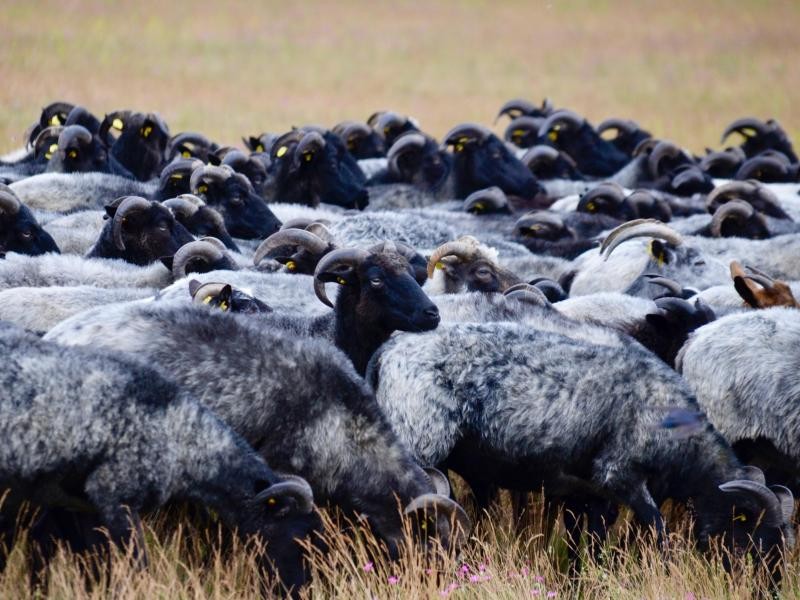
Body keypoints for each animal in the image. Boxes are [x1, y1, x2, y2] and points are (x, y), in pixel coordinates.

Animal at [0, 322, 318, 592]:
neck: (182, 437)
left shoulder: (78, 504)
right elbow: (135, 562)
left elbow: (85, 557)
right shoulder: (114, 498)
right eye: (300, 536)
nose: (299, 590)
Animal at [368, 318, 792, 568]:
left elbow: (593, 541)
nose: (764, 589)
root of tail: (390, 348)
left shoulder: (593, 493)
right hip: (417, 438)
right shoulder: (618, 475)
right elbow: (658, 531)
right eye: (755, 539)